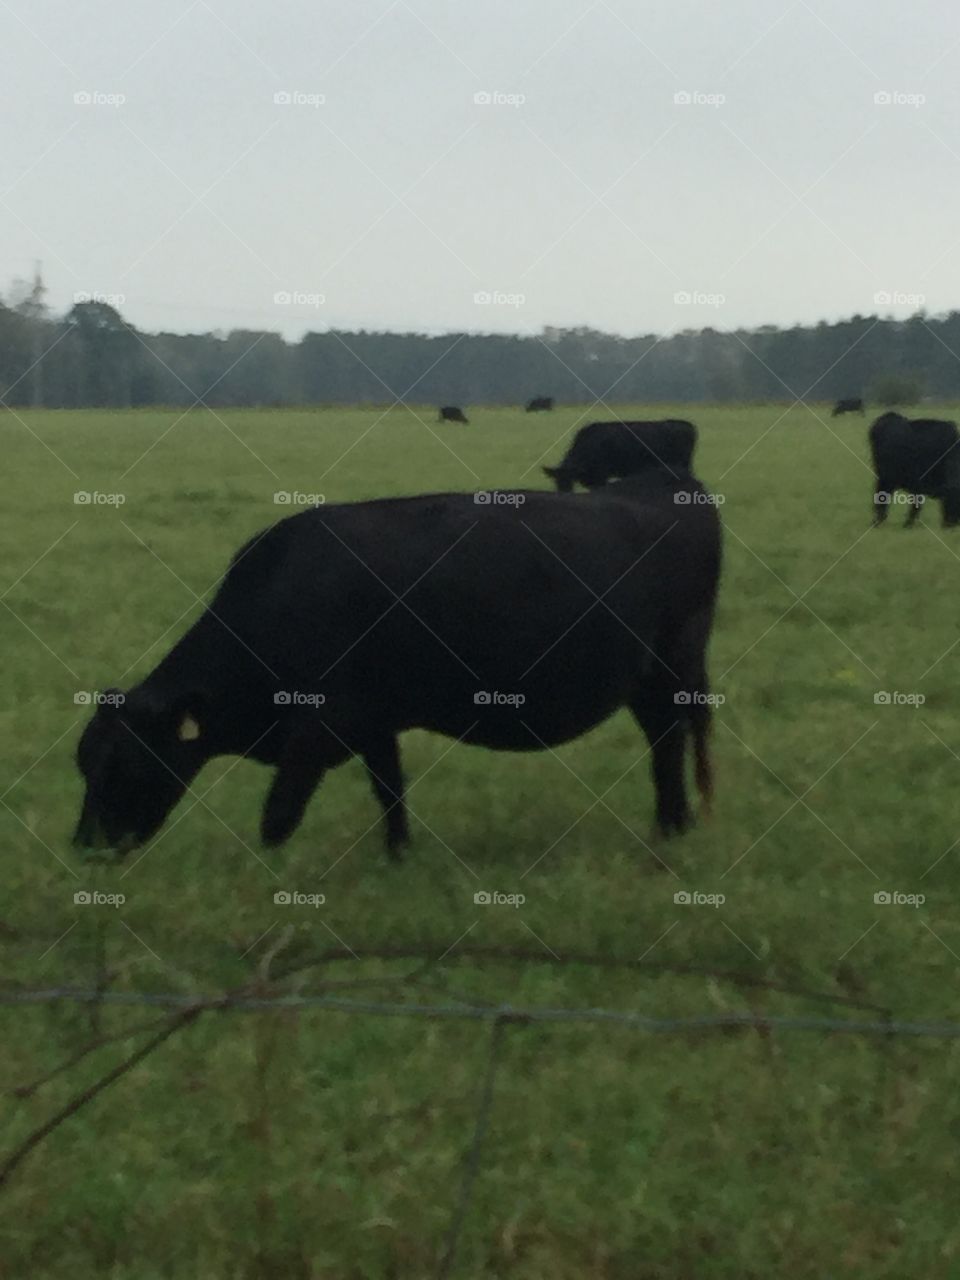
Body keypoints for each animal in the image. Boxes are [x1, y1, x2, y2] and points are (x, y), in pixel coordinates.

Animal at [73, 468, 722, 861]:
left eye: (122, 765)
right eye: (86, 766)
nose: (84, 847)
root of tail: (665, 482)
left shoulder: (316, 727)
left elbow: (277, 817)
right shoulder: (373, 721)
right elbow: (389, 789)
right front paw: (398, 857)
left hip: (672, 667)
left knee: (669, 742)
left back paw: (670, 830)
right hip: (647, 678)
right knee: (664, 741)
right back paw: (677, 827)